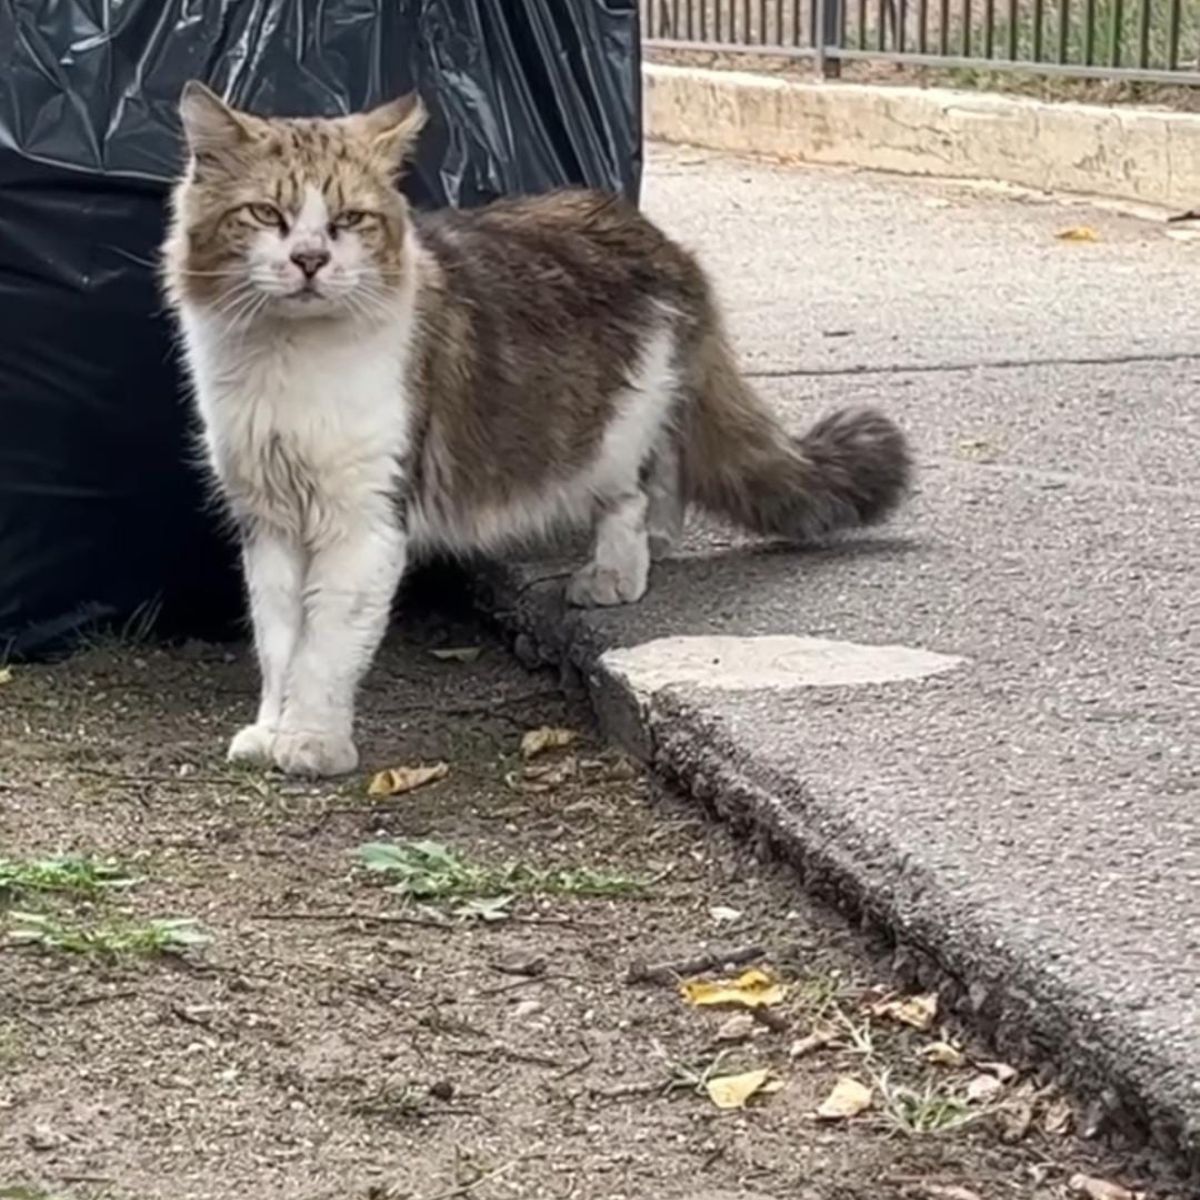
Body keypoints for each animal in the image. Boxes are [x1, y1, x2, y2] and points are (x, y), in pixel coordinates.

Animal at [159, 82, 907, 777]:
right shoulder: (270, 520)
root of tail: (652, 233)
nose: (311, 259)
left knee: (635, 487)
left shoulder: (362, 521)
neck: (286, 359)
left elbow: (324, 646)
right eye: (267, 214)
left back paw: (616, 569)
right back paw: (658, 543)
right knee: (666, 469)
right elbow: (279, 642)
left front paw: (312, 740)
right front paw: (270, 730)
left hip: (612, 429)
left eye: (349, 220)